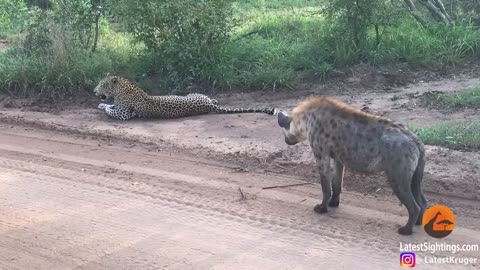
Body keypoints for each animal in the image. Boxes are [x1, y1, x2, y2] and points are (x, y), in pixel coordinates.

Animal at [278, 96, 428, 235]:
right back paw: (419, 222)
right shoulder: (338, 158)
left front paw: (321, 208)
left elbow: (325, 185)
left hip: (397, 173)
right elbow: (337, 183)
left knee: (413, 204)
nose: (286, 141)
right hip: (416, 172)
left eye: (284, 133)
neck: (306, 119)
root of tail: (416, 140)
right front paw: (333, 203)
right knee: (421, 199)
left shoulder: (321, 153)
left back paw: (406, 230)